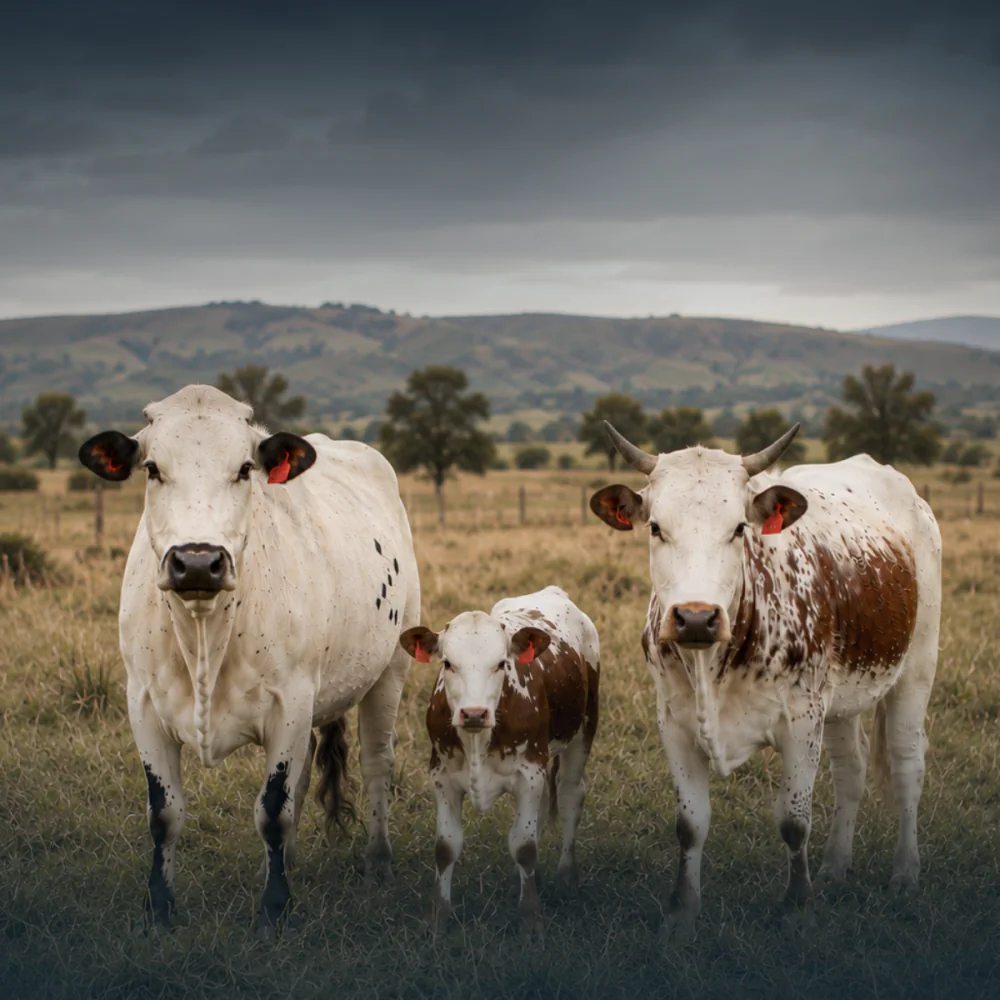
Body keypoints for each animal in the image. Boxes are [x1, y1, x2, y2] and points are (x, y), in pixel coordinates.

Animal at [78, 385, 420, 935]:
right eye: (151, 468)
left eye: (244, 468)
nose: (197, 561)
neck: (205, 633)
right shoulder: (143, 705)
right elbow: (164, 814)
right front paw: (160, 908)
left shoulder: (290, 705)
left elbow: (272, 810)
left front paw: (274, 908)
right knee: (305, 774)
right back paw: (289, 861)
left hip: (389, 671)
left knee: (376, 763)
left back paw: (379, 861)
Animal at [399, 586, 600, 933]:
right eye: (448, 663)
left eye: (501, 664)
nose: (474, 713)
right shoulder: (442, 776)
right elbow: (446, 847)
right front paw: (437, 914)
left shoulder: (530, 773)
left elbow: (524, 846)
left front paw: (531, 916)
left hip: (582, 733)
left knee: (571, 797)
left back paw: (566, 879)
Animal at [589, 421, 941, 941]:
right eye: (655, 528)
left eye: (739, 528)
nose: (697, 618)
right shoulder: (673, 721)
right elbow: (690, 824)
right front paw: (682, 910)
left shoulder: (801, 721)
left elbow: (794, 821)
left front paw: (797, 907)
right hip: (839, 702)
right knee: (851, 770)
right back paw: (836, 865)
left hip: (915, 670)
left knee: (907, 764)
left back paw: (906, 871)